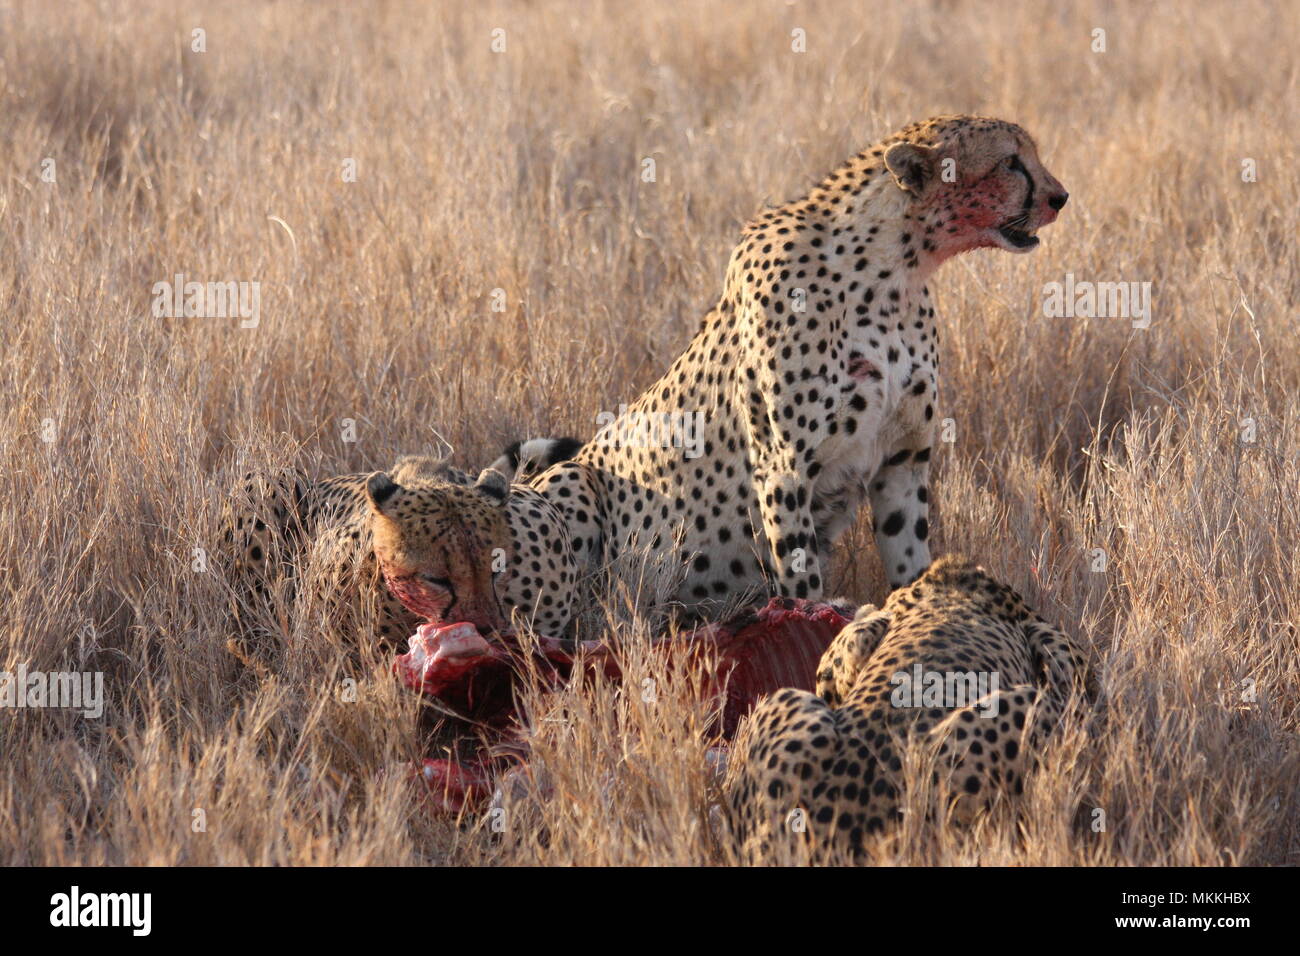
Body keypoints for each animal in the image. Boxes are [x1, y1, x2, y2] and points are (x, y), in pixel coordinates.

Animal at [506, 115, 1066, 621]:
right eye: (1010, 163)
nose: (1060, 197)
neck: (895, 270)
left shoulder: (902, 460)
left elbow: (910, 557)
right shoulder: (784, 462)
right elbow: (802, 577)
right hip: (571, 481)